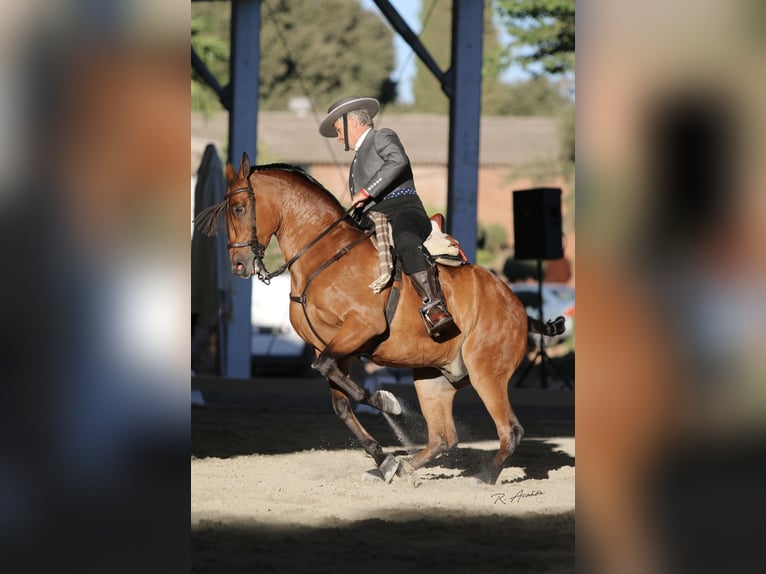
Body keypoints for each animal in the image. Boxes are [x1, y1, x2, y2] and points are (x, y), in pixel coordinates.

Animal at [194, 153, 564, 486]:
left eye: (239, 208)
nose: (239, 265)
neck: (323, 255)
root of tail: (519, 309)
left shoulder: (360, 328)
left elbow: (340, 380)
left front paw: (388, 404)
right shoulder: (328, 346)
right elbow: (339, 400)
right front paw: (384, 459)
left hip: (487, 373)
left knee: (510, 430)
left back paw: (483, 478)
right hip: (433, 379)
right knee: (443, 437)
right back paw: (405, 467)